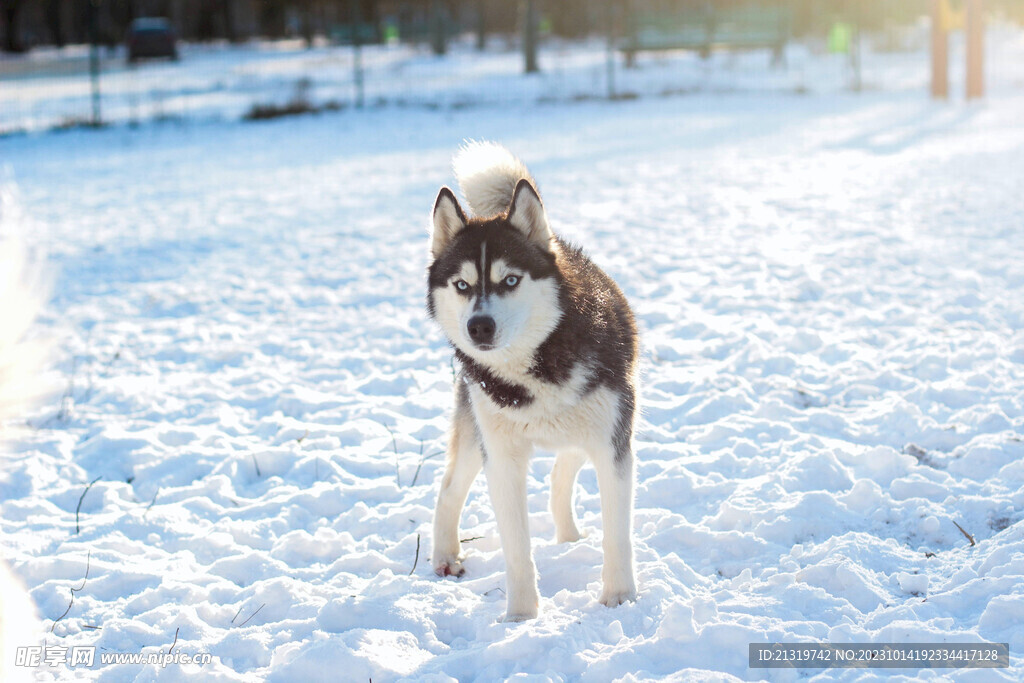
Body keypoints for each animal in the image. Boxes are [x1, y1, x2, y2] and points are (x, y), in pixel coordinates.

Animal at [425, 141, 638, 622]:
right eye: (462, 284)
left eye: (510, 280)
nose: (479, 327)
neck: (535, 367)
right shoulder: (502, 458)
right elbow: (517, 549)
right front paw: (521, 616)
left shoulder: (612, 443)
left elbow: (617, 534)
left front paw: (620, 598)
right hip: (477, 431)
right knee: (448, 489)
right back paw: (445, 556)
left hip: (592, 425)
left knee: (563, 470)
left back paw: (569, 536)